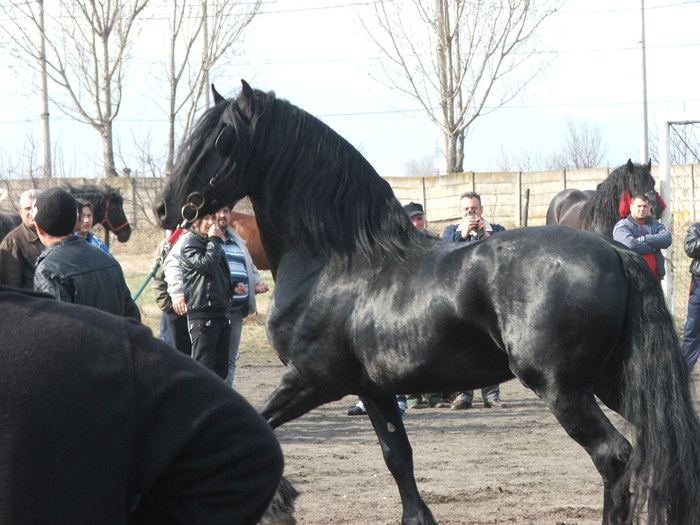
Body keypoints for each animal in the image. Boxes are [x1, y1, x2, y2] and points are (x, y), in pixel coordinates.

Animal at [154, 82, 700, 524]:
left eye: (221, 139)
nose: (164, 207)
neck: (337, 260)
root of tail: (614, 250)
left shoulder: (311, 379)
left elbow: (257, 422)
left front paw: (277, 501)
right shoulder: (372, 389)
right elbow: (399, 459)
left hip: (562, 386)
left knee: (614, 456)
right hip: (610, 379)